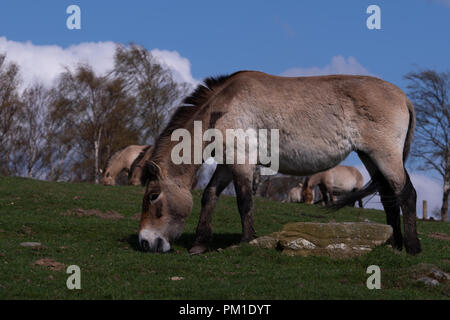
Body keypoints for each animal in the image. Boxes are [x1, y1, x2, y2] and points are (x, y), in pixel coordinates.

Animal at [138, 70, 422, 255]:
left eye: (153, 196)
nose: (145, 242)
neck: (221, 107)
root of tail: (403, 97)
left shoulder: (242, 161)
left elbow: (244, 201)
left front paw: (246, 241)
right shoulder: (229, 163)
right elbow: (209, 196)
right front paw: (199, 244)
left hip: (385, 156)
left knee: (406, 194)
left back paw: (412, 248)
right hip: (371, 157)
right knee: (389, 197)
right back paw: (395, 244)